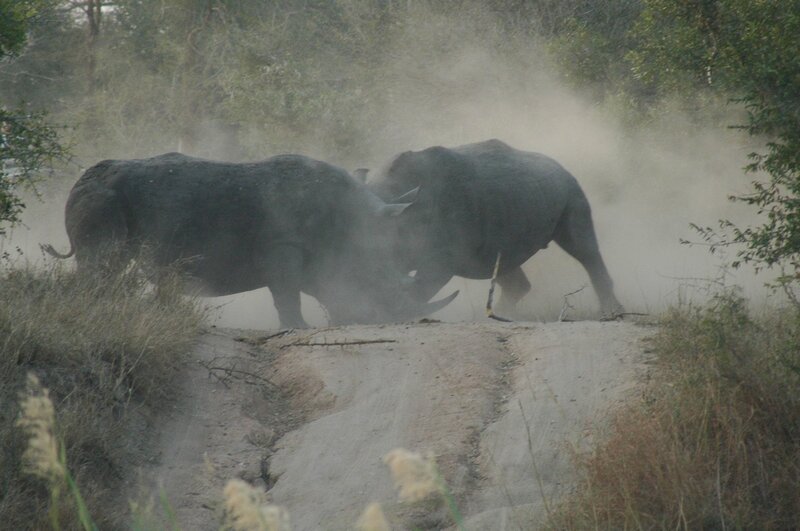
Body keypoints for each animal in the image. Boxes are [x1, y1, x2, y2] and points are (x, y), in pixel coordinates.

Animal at [42, 152, 457, 328]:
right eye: (376, 276)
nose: (383, 319)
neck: (346, 219)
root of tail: (80, 180)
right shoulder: (283, 246)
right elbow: (287, 293)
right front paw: (300, 328)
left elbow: (295, 289)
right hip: (103, 199)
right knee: (104, 262)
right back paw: (94, 312)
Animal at [369, 139, 623, 318]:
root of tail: (560, 165)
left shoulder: (442, 257)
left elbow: (422, 286)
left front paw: (396, 314)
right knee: (498, 262)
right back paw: (499, 315)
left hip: (570, 187)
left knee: (582, 248)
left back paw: (612, 312)